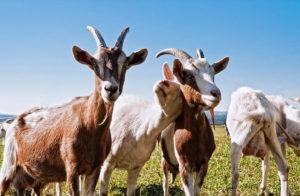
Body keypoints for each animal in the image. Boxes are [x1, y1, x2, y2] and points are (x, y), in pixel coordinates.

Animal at [0, 26, 148, 196]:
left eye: (125, 64)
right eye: (94, 63)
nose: (110, 89)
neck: (90, 125)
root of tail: (17, 120)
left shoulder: (94, 168)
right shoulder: (72, 168)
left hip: (32, 174)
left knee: (26, 187)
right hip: (9, 163)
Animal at [156, 47, 229, 196]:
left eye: (213, 74)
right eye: (189, 76)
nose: (216, 94)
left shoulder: (203, 164)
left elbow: (196, 191)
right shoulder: (185, 165)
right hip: (164, 160)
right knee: (165, 183)